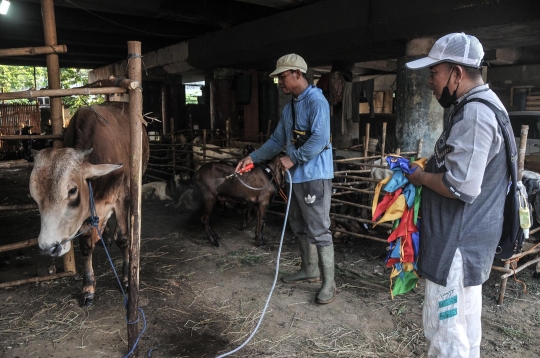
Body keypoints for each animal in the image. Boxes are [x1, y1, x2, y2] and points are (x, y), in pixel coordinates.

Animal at [29, 102, 150, 306]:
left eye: (72, 190)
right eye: (34, 196)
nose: (48, 248)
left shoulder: (122, 197)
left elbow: (123, 238)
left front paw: (127, 279)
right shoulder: (87, 209)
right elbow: (86, 246)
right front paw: (88, 288)